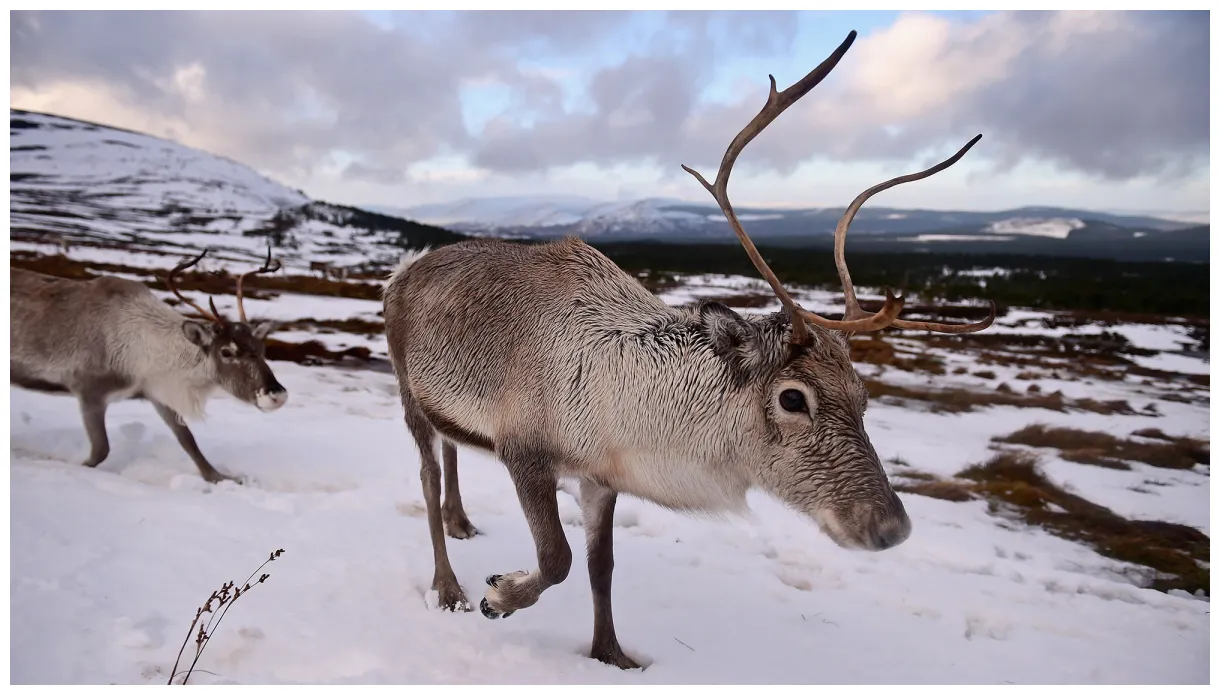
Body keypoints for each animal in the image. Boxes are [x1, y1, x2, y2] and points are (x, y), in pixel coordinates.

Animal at [10, 246, 288, 483]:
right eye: (227, 351)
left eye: (261, 348)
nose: (277, 394)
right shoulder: (89, 389)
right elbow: (100, 450)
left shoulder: (157, 393)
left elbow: (189, 441)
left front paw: (220, 477)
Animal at [381, 30, 995, 670]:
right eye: (792, 398)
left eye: (864, 397)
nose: (890, 527)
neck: (626, 407)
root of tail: (403, 269)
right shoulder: (524, 450)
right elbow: (558, 560)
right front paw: (498, 596)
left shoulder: (603, 479)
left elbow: (602, 567)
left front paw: (612, 656)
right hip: (407, 390)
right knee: (426, 475)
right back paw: (447, 586)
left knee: (451, 450)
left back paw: (461, 521)